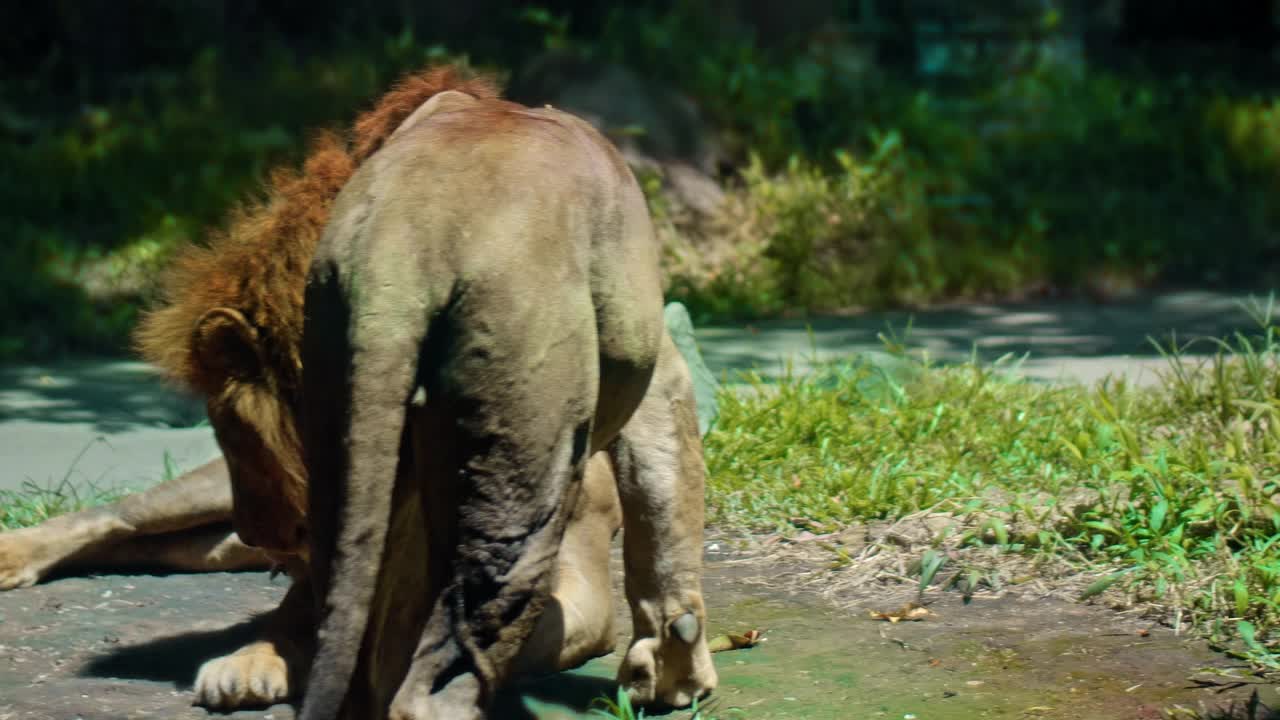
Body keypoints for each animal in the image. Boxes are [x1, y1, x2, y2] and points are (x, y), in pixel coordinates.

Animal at [0, 63, 716, 712]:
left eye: (227, 423)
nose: (261, 536)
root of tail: (404, 246)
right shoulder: (655, 365)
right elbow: (663, 505)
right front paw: (674, 671)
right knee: (122, 518)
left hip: (328, 470)